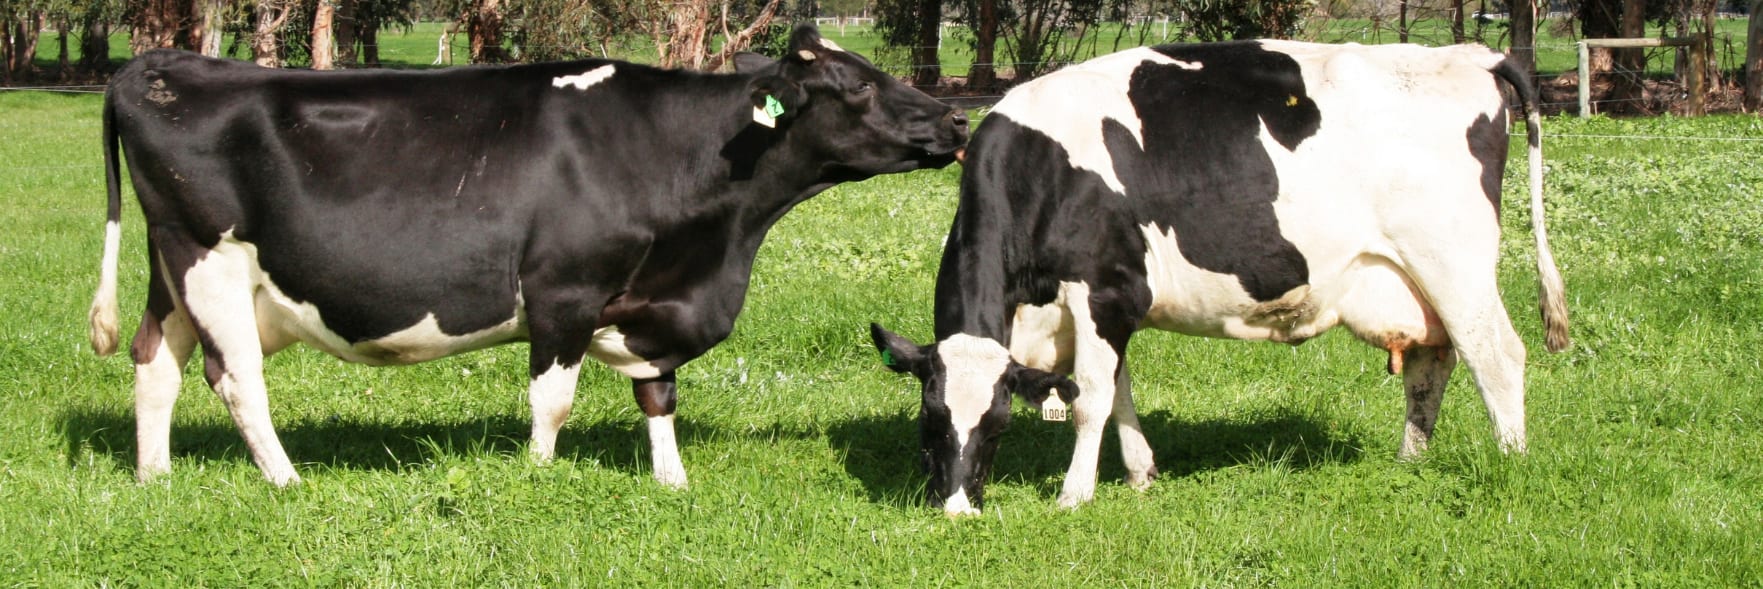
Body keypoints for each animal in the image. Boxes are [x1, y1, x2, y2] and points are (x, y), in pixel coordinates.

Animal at [87, 25, 969, 487]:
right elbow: (553, 401)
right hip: (211, 260)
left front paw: (671, 481)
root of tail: (160, 64)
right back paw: (285, 480)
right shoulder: (563, 292)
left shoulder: (652, 302)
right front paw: (540, 476)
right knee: (234, 376)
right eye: (855, 87)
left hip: (172, 271)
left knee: (154, 359)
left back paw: (154, 477)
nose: (955, 122)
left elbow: (658, 395)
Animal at [870, 40, 1569, 515]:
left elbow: (1092, 398)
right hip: (1410, 280)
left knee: (1496, 355)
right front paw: (1141, 473)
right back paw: (1409, 463)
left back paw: (1511, 461)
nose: (957, 510)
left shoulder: (1103, 289)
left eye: (997, 426)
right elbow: (1120, 391)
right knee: (1432, 362)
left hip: (1453, 260)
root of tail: (1470, 55)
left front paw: (1074, 493)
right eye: (930, 423)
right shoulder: (1111, 306)